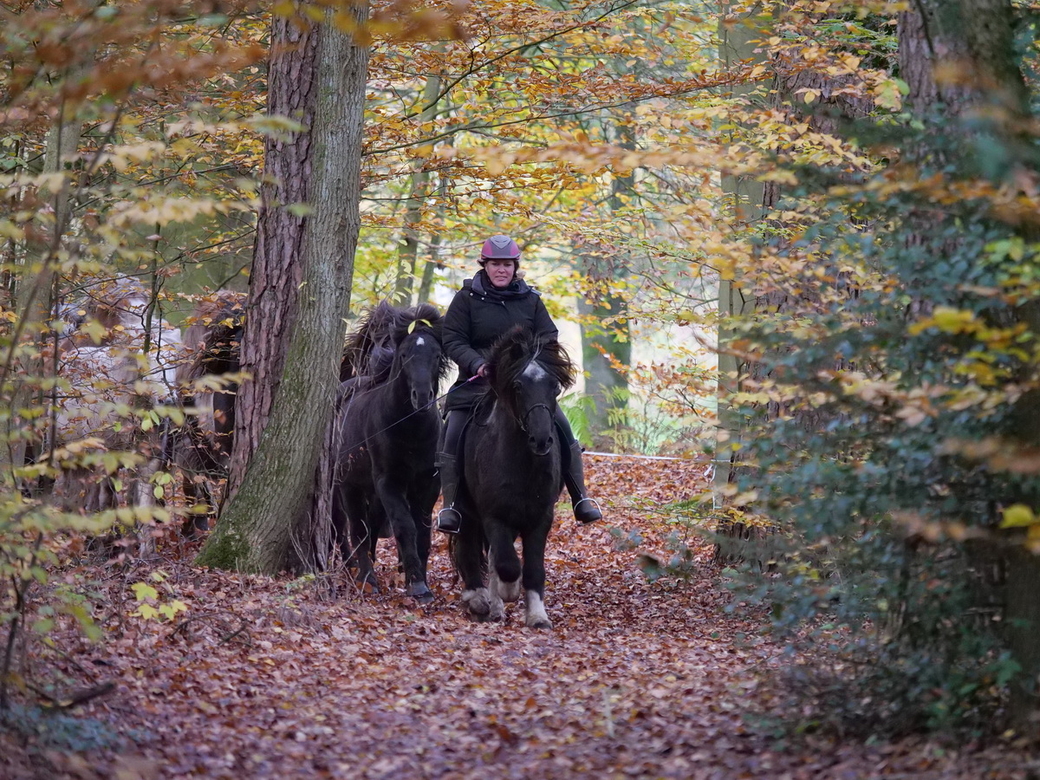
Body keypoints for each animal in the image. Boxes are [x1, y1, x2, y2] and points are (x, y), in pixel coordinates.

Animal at [330, 301, 449, 603]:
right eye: (404, 354)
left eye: (436, 355)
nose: (422, 397)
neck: (411, 430)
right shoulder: (389, 481)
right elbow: (404, 526)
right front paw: (417, 585)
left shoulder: (428, 483)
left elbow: (422, 531)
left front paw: (419, 581)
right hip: (345, 485)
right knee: (349, 527)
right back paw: (362, 574)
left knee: (369, 526)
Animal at [451, 326, 578, 632]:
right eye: (518, 386)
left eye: (554, 387)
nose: (541, 440)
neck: (522, 465)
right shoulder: (494, 516)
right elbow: (508, 565)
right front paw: (508, 592)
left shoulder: (541, 518)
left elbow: (533, 569)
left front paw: (537, 616)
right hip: (465, 512)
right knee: (470, 549)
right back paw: (480, 601)